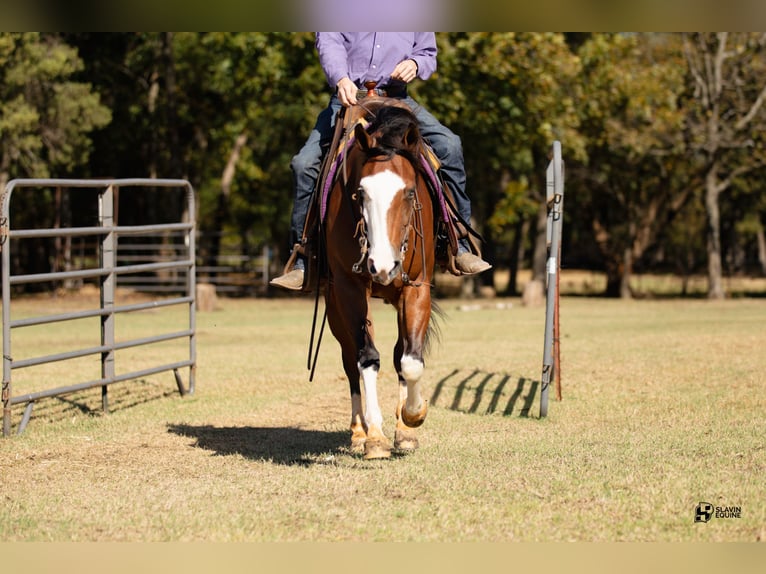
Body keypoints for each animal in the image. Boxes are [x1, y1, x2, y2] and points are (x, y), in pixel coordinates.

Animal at [324, 101, 440, 462]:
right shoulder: (349, 289)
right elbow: (366, 358)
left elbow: (410, 360)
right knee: (350, 361)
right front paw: (375, 437)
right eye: (360, 193)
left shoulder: (417, 287)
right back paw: (360, 432)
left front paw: (412, 419)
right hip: (335, 308)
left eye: (410, 192)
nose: (383, 266)